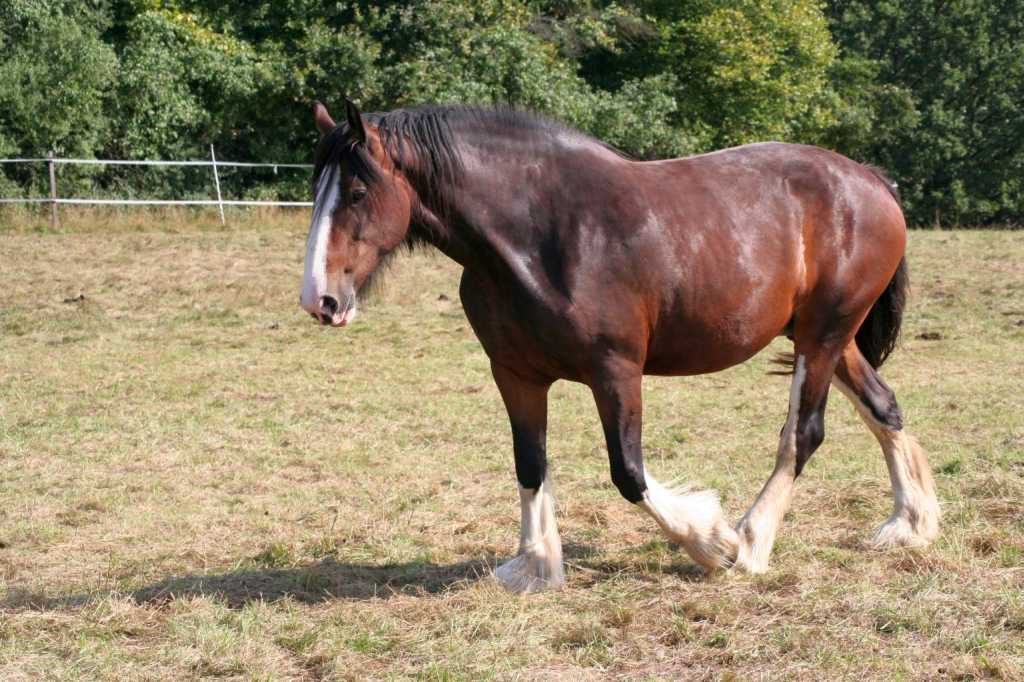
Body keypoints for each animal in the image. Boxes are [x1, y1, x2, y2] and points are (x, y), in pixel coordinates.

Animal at [299, 99, 940, 592]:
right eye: (317, 187)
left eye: (357, 191)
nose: (319, 300)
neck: (544, 233)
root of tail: (870, 180)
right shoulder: (515, 374)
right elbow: (530, 463)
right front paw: (536, 565)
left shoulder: (616, 372)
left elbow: (629, 473)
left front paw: (710, 542)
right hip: (827, 337)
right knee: (883, 408)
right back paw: (910, 524)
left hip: (823, 336)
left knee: (802, 435)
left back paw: (752, 543)